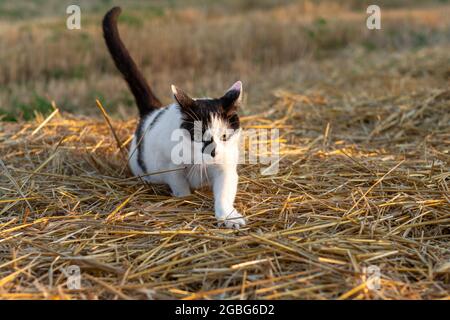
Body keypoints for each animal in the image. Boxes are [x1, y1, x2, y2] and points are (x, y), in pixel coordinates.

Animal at [102, 6, 246, 228]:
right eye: (199, 136)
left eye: (224, 136)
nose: (213, 152)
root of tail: (152, 111)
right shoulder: (169, 165)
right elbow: (180, 186)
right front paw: (184, 199)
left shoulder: (226, 165)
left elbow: (224, 192)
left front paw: (228, 216)